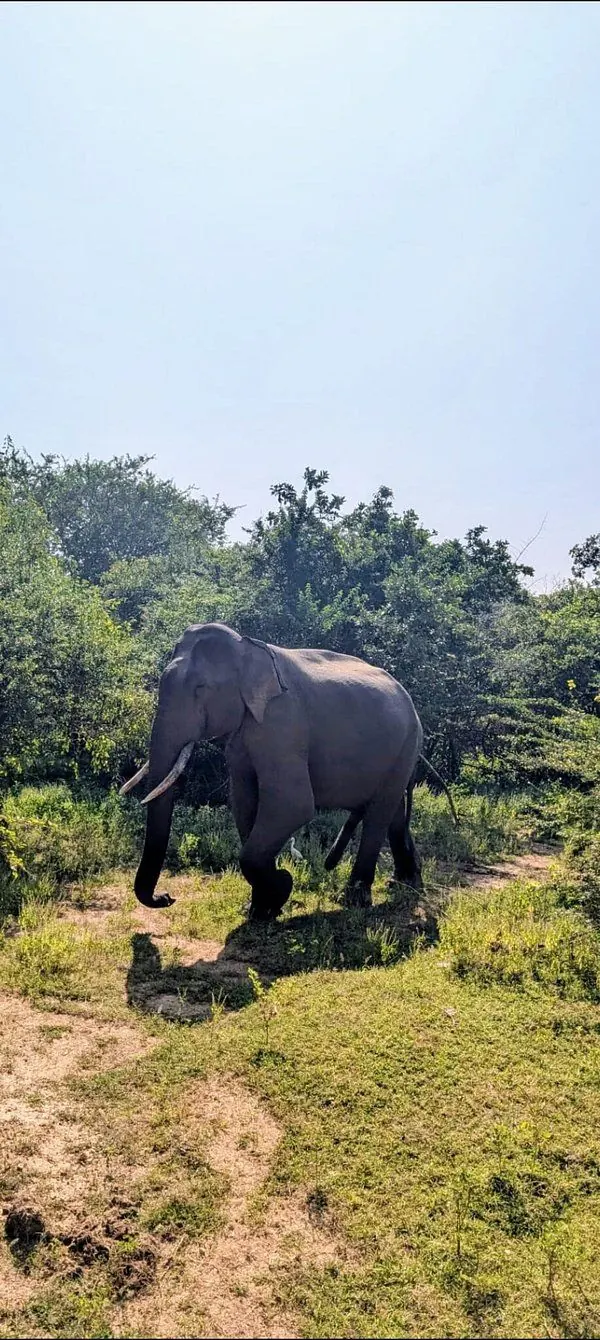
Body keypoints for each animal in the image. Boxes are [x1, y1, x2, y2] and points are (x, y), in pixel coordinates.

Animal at [121, 621, 425, 920]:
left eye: (201, 687)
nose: (167, 897)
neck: (248, 649)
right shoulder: (242, 735)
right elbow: (244, 803)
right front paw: (260, 909)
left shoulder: (283, 725)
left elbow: (292, 805)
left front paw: (281, 887)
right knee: (393, 812)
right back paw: (405, 882)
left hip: (408, 744)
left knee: (379, 814)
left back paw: (355, 900)